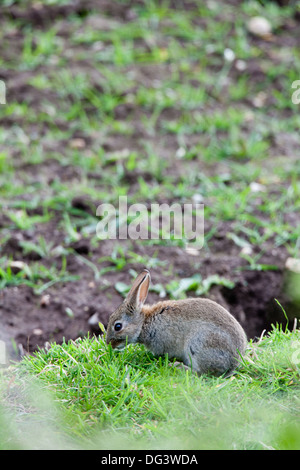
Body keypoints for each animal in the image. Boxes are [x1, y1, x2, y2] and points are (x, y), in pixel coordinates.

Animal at [106, 270, 247, 376]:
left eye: (118, 326)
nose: (109, 344)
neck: (144, 323)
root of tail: (233, 363)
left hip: (199, 344)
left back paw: (178, 366)